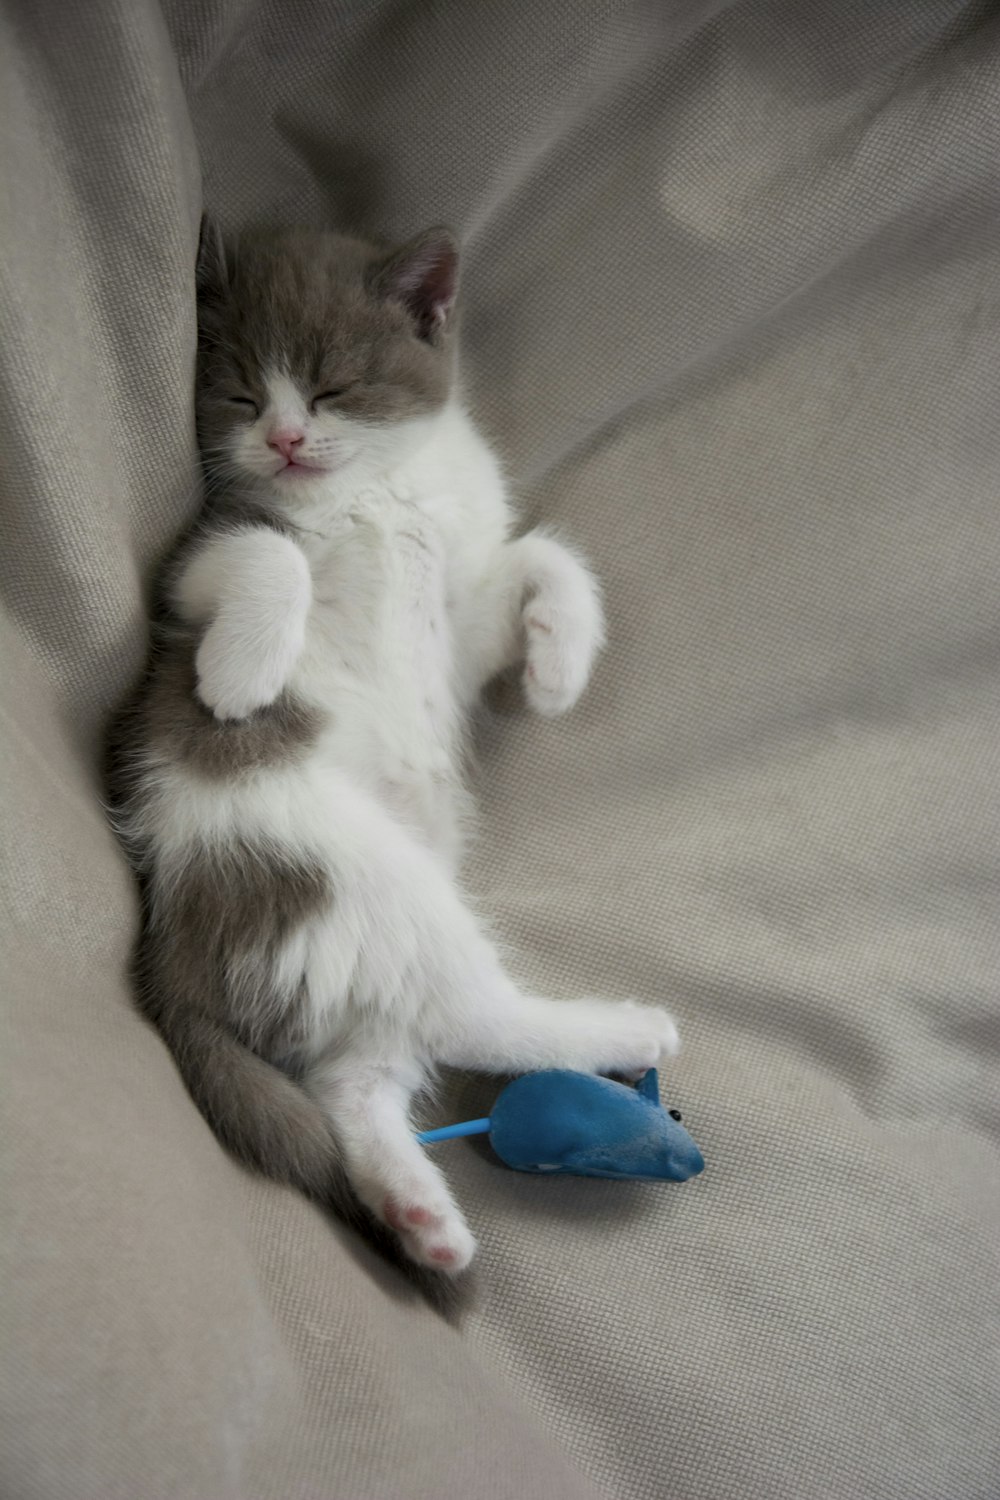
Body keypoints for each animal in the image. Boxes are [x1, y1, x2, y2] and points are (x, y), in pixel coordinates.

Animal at [115, 222, 680, 1290]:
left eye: (332, 386)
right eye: (239, 393)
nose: (286, 440)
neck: (369, 492)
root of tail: (169, 959)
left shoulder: (461, 615)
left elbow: (540, 554)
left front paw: (558, 667)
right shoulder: (198, 556)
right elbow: (272, 557)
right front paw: (241, 675)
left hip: (351, 949)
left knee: (359, 1084)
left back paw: (420, 1213)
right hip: (349, 874)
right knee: (475, 1017)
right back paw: (620, 1029)